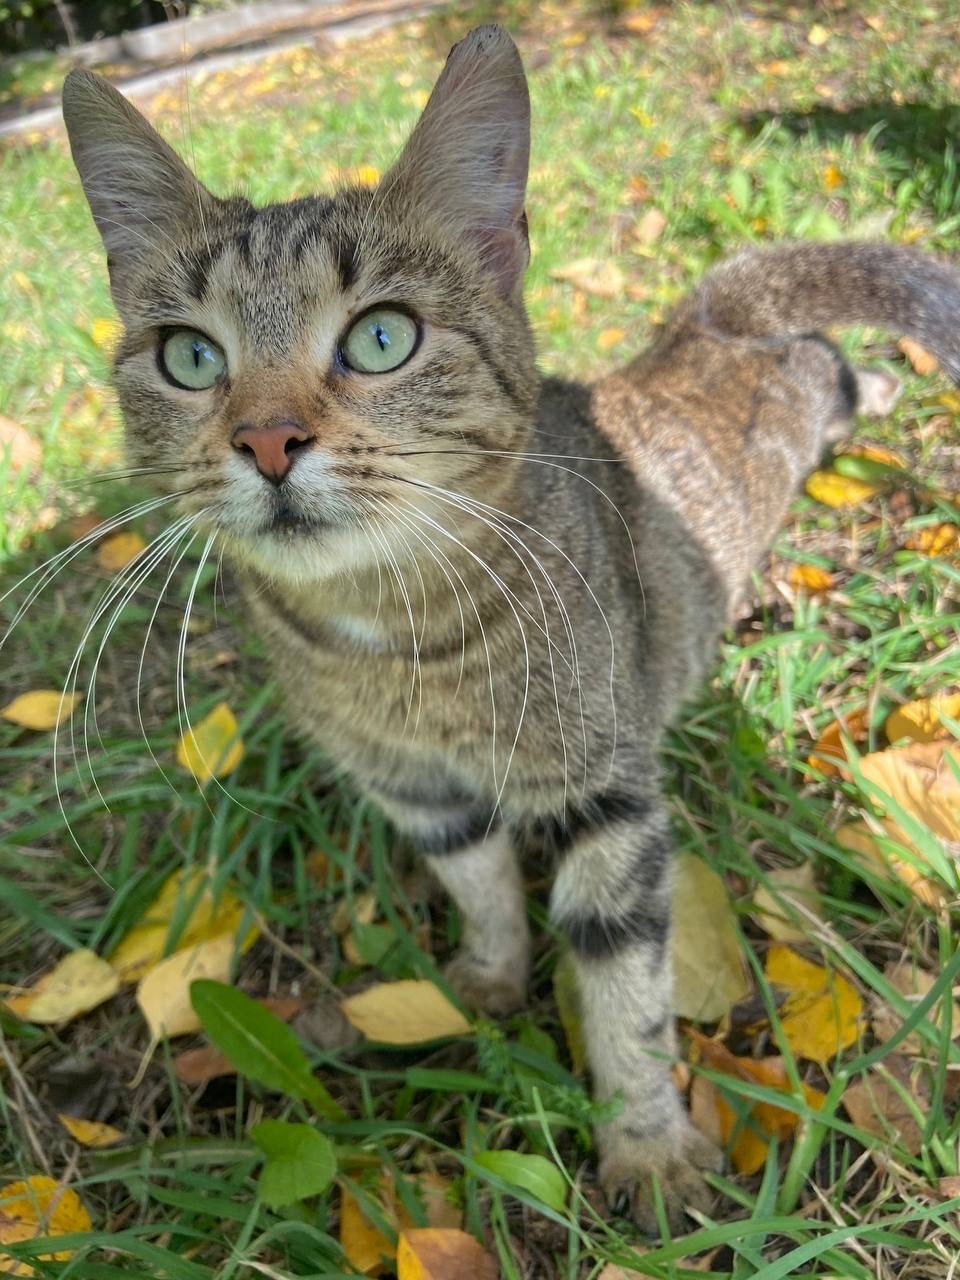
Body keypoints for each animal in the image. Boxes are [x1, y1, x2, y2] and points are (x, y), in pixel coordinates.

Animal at [62, 24, 960, 1233]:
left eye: (381, 338)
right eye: (191, 356)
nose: (266, 439)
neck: (394, 640)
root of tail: (700, 325)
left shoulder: (604, 798)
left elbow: (627, 992)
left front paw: (647, 1149)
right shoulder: (413, 788)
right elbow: (478, 887)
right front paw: (486, 979)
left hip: (810, 394)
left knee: (832, 362)